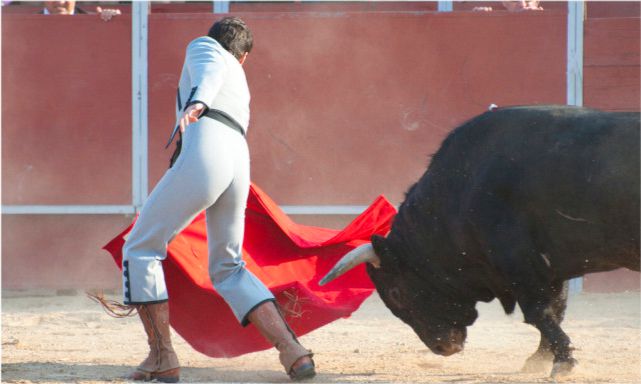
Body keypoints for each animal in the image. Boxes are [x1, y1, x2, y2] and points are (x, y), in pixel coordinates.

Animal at [322, 106, 636, 378]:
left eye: (396, 293)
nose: (443, 347)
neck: (461, 189)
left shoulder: (520, 263)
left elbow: (539, 312)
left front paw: (563, 362)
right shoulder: (550, 269)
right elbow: (555, 310)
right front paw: (539, 359)